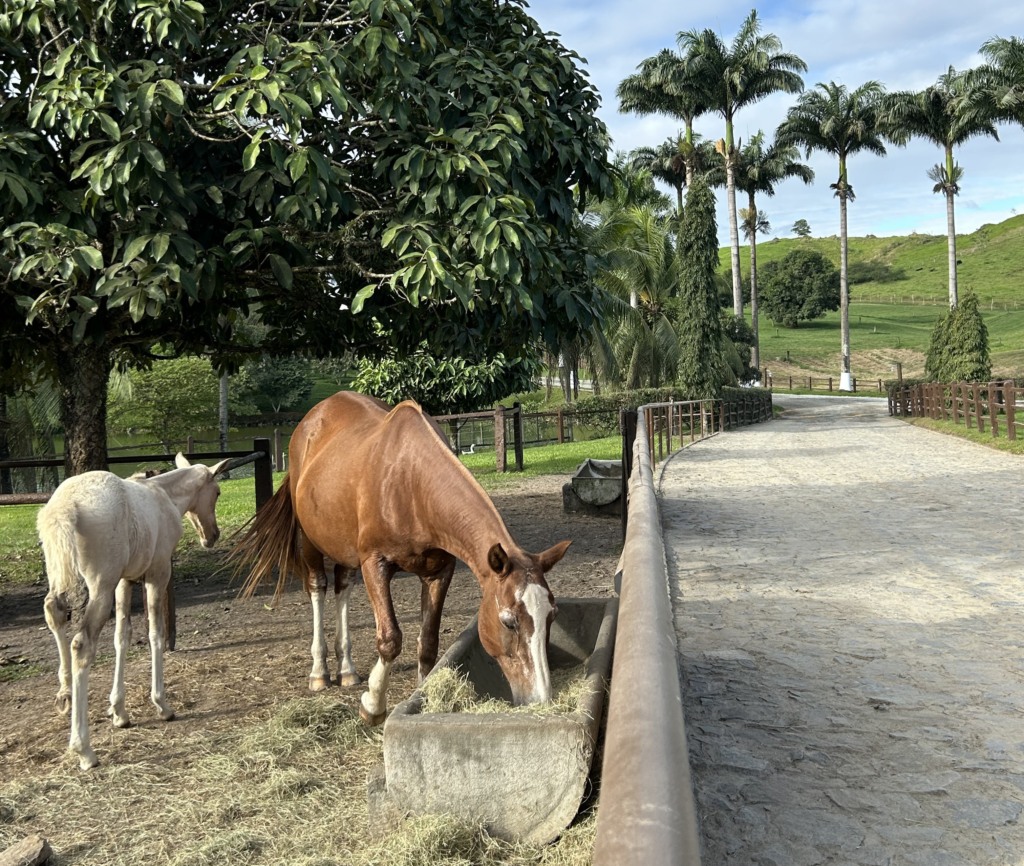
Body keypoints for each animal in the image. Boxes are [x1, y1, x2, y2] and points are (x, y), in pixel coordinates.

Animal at [38, 453, 230, 769]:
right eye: (217, 493)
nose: (212, 536)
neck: (164, 495)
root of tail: (66, 506)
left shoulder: (124, 582)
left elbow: (122, 637)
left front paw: (119, 711)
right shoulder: (157, 574)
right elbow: (155, 633)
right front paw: (162, 704)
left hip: (62, 574)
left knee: (55, 612)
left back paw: (64, 693)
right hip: (100, 585)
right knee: (82, 644)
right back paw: (84, 749)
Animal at [231, 391, 571, 725]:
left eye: (552, 615)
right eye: (509, 622)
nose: (539, 699)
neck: (411, 483)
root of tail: (309, 422)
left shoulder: (439, 571)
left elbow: (428, 642)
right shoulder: (375, 564)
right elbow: (390, 639)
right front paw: (372, 706)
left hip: (344, 548)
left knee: (343, 586)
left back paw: (347, 669)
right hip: (310, 542)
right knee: (318, 588)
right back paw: (320, 672)